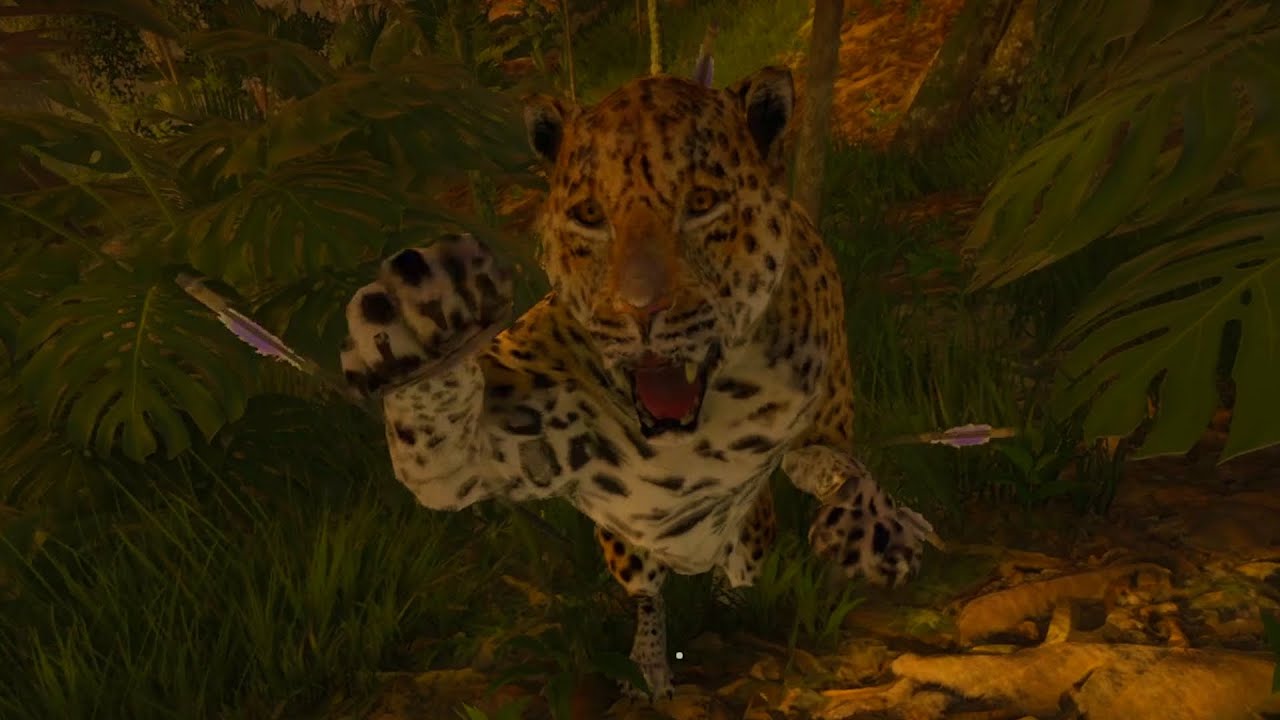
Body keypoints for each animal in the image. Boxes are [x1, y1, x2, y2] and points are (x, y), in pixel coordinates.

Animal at [338, 65, 935, 701]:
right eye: (590, 215)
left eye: (701, 203)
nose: (639, 311)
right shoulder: (505, 440)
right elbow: (438, 445)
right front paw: (421, 317)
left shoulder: (824, 403)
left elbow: (836, 464)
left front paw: (876, 529)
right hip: (623, 545)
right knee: (648, 590)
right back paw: (648, 667)